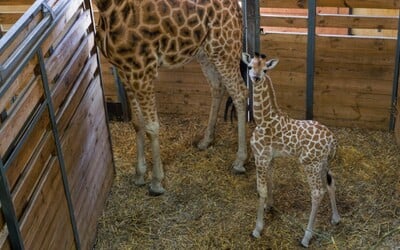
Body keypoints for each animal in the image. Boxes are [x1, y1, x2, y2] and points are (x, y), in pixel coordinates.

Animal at [95, 0, 248, 195]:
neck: (107, 9)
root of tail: (237, 6)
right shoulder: (125, 71)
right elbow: (137, 123)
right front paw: (139, 175)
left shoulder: (144, 71)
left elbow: (152, 127)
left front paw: (156, 182)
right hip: (205, 52)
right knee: (217, 86)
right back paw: (205, 141)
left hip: (225, 48)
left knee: (240, 92)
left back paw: (239, 161)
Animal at [244, 52, 340, 246]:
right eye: (249, 66)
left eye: (265, 69)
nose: (256, 78)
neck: (263, 120)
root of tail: (333, 141)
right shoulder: (270, 158)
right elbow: (270, 181)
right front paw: (269, 206)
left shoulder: (261, 157)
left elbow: (261, 190)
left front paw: (257, 229)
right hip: (323, 163)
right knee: (331, 182)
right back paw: (335, 218)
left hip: (310, 164)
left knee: (317, 192)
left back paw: (306, 237)